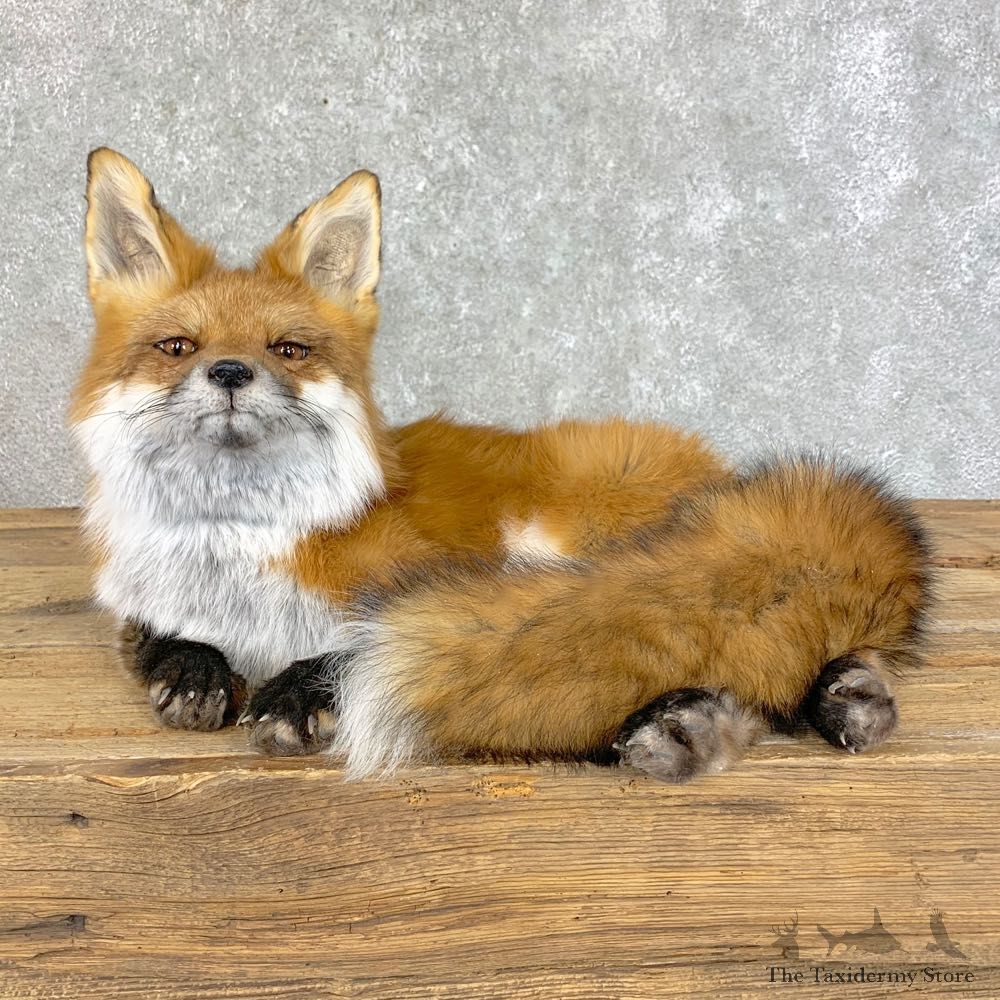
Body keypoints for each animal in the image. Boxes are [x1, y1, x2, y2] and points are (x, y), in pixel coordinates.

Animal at [70, 148, 932, 782]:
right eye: (178, 346)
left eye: (287, 349)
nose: (229, 373)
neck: (242, 544)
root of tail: (722, 474)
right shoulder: (144, 599)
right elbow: (159, 636)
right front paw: (193, 670)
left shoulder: (422, 579)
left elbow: (350, 648)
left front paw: (296, 692)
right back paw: (753, 717)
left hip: (560, 550)